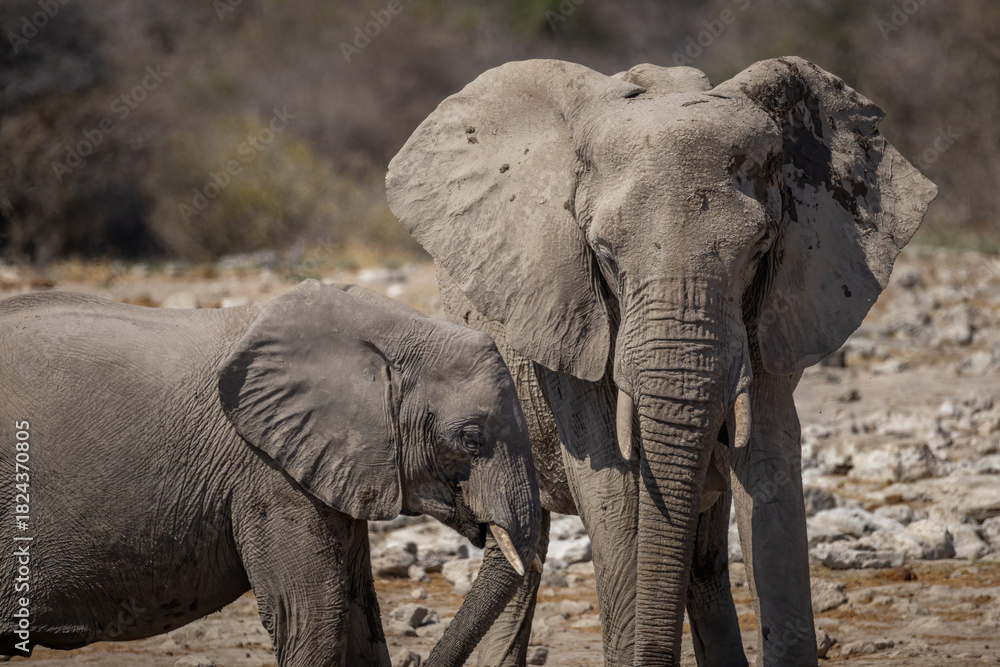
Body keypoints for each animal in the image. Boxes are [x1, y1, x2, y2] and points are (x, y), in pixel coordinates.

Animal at [386, 57, 937, 666]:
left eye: (760, 248)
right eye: (603, 254)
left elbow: (770, 474)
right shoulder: (570, 320)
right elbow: (613, 487)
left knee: (702, 559)